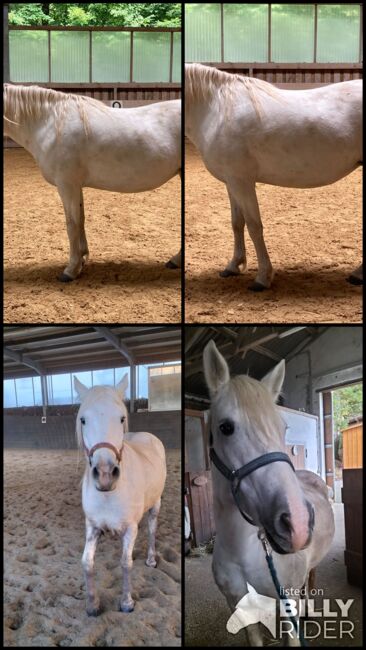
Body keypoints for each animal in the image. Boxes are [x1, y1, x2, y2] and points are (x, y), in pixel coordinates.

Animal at [2, 83, 180, 278]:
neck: (49, 123)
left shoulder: (66, 185)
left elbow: (71, 224)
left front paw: (70, 270)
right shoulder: (75, 186)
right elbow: (80, 219)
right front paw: (82, 260)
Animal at [74, 372, 166, 616]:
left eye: (122, 418)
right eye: (83, 419)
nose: (105, 474)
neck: (109, 495)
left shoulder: (131, 527)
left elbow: (125, 563)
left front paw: (127, 602)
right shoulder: (92, 527)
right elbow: (87, 562)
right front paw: (92, 605)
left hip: (156, 504)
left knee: (152, 529)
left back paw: (151, 559)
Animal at [184, 64, 362, 290]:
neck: (216, 108)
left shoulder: (242, 182)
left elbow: (254, 226)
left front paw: (262, 278)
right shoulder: (231, 182)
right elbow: (237, 223)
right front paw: (233, 266)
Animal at [203, 340, 334, 644]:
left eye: (283, 427)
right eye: (226, 427)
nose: (297, 523)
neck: (244, 552)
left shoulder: (287, 604)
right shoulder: (238, 605)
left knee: (309, 580)